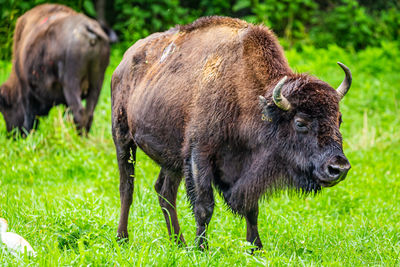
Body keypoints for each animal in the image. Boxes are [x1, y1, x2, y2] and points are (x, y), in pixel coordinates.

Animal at [0, 4, 109, 136]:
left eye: (6, 108)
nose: (11, 135)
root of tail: (88, 28)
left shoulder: (26, 89)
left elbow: (29, 116)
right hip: (97, 83)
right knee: (89, 113)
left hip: (71, 85)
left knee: (79, 113)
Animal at [111, 16, 352, 250]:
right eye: (300, 122)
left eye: (339, 119)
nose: (338, 168)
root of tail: (123, 63)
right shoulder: (199, 155)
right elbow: (204, 206)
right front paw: (202, 248)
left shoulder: (246, 170)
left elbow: (252, 208)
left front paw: (255, 247)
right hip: (123, 139)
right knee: (127, 188)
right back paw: (123, 239)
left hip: (172, 158)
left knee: (165, 192)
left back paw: (178, 243)